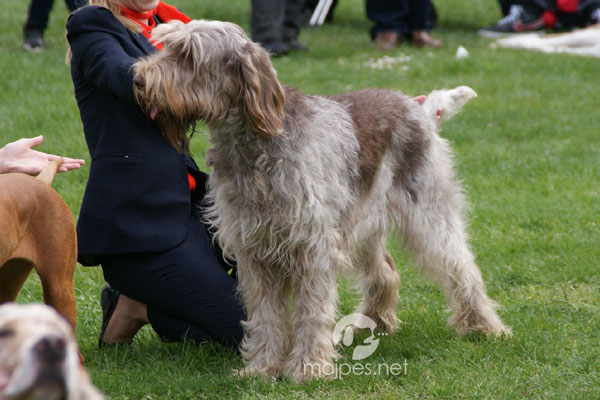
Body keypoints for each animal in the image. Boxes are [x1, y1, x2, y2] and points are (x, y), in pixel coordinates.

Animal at [132, 19, 510, 382]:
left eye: (188, 56)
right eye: (165, 46)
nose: (137, 79)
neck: (253, 150)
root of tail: (418, 109)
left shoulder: (312, 250)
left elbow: (310, 314)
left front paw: (308, 369)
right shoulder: (255, 251)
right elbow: (265, 317)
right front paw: (262, 369)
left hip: (427, 214)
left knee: (462, 266)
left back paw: (483, 326)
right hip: (361, 222)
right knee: (385, 270)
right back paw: (374, 322)